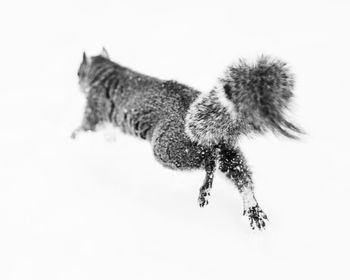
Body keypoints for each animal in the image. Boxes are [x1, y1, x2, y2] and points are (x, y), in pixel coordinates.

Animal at [72, 47, 302, 230]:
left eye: (78, 72)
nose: (77, 81)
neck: (108, 72)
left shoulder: (94, 108)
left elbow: (84, 127)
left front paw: (72, 139)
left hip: (168, 149)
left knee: (209, 160)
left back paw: (206, 188)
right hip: (229, 150)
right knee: (242, 177)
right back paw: (253, 208)